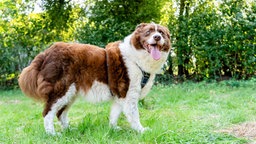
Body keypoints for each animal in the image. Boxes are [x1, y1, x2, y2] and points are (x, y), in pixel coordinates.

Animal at [18, 22, 170, 135]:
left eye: (161, 33)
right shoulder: (129, 94)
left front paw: (113, 129)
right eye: (148, 32)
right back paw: (52, 134)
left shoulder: (120, 96)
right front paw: (141, 130)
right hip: (62, 90)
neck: (136, 58)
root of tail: (46, 52)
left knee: (60, 113)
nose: (157, 37)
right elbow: (134, 115)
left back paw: (69, 130)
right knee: (48, 112)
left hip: (71, 93)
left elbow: (114, 114)